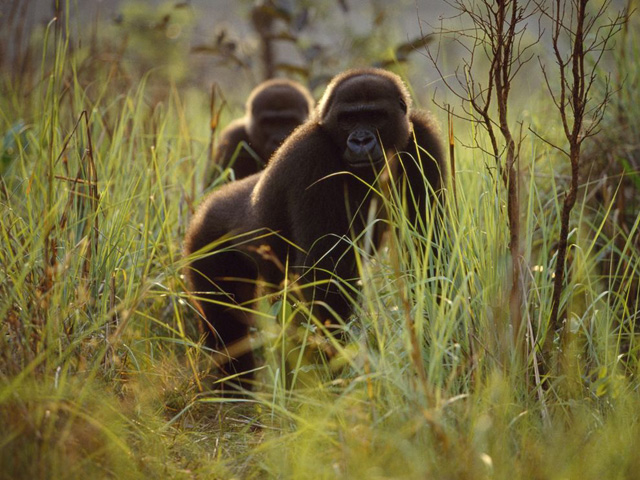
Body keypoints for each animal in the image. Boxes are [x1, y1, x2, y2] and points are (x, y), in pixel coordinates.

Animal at [185, 67, 444, 390]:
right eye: (348, 119)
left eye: (375, 115)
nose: (361, 140)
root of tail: (205, 206)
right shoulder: (311, 154)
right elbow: (324, 276)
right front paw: (328, 372)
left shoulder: (423, 138)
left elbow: (429, 250)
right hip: (205, 240)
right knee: (226, 325)